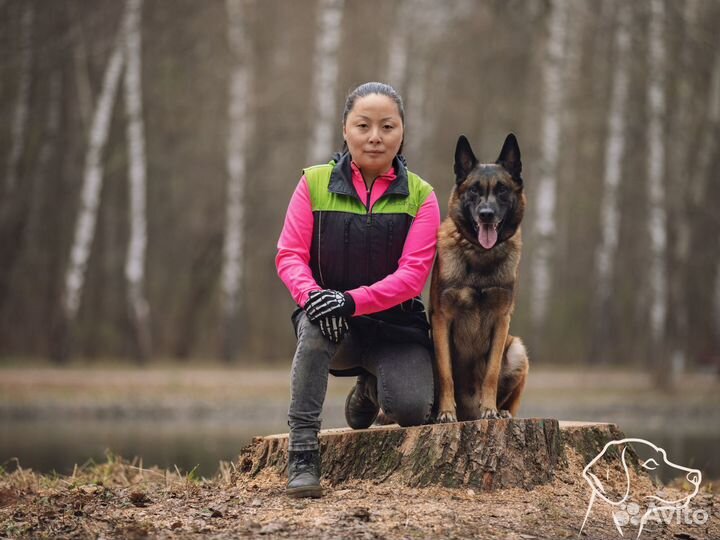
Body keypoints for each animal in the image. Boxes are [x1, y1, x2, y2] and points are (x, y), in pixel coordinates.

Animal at [430, 134, 532, 422]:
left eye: (502, 190)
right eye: (474, 190)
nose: (486, 214)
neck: (479, 255)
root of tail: (468, 414)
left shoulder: (501, 320)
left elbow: (492, 372)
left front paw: (490, 409)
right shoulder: (442, 320)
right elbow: (446, 374)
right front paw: (445, 413)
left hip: (518, 350)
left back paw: (501, 411)